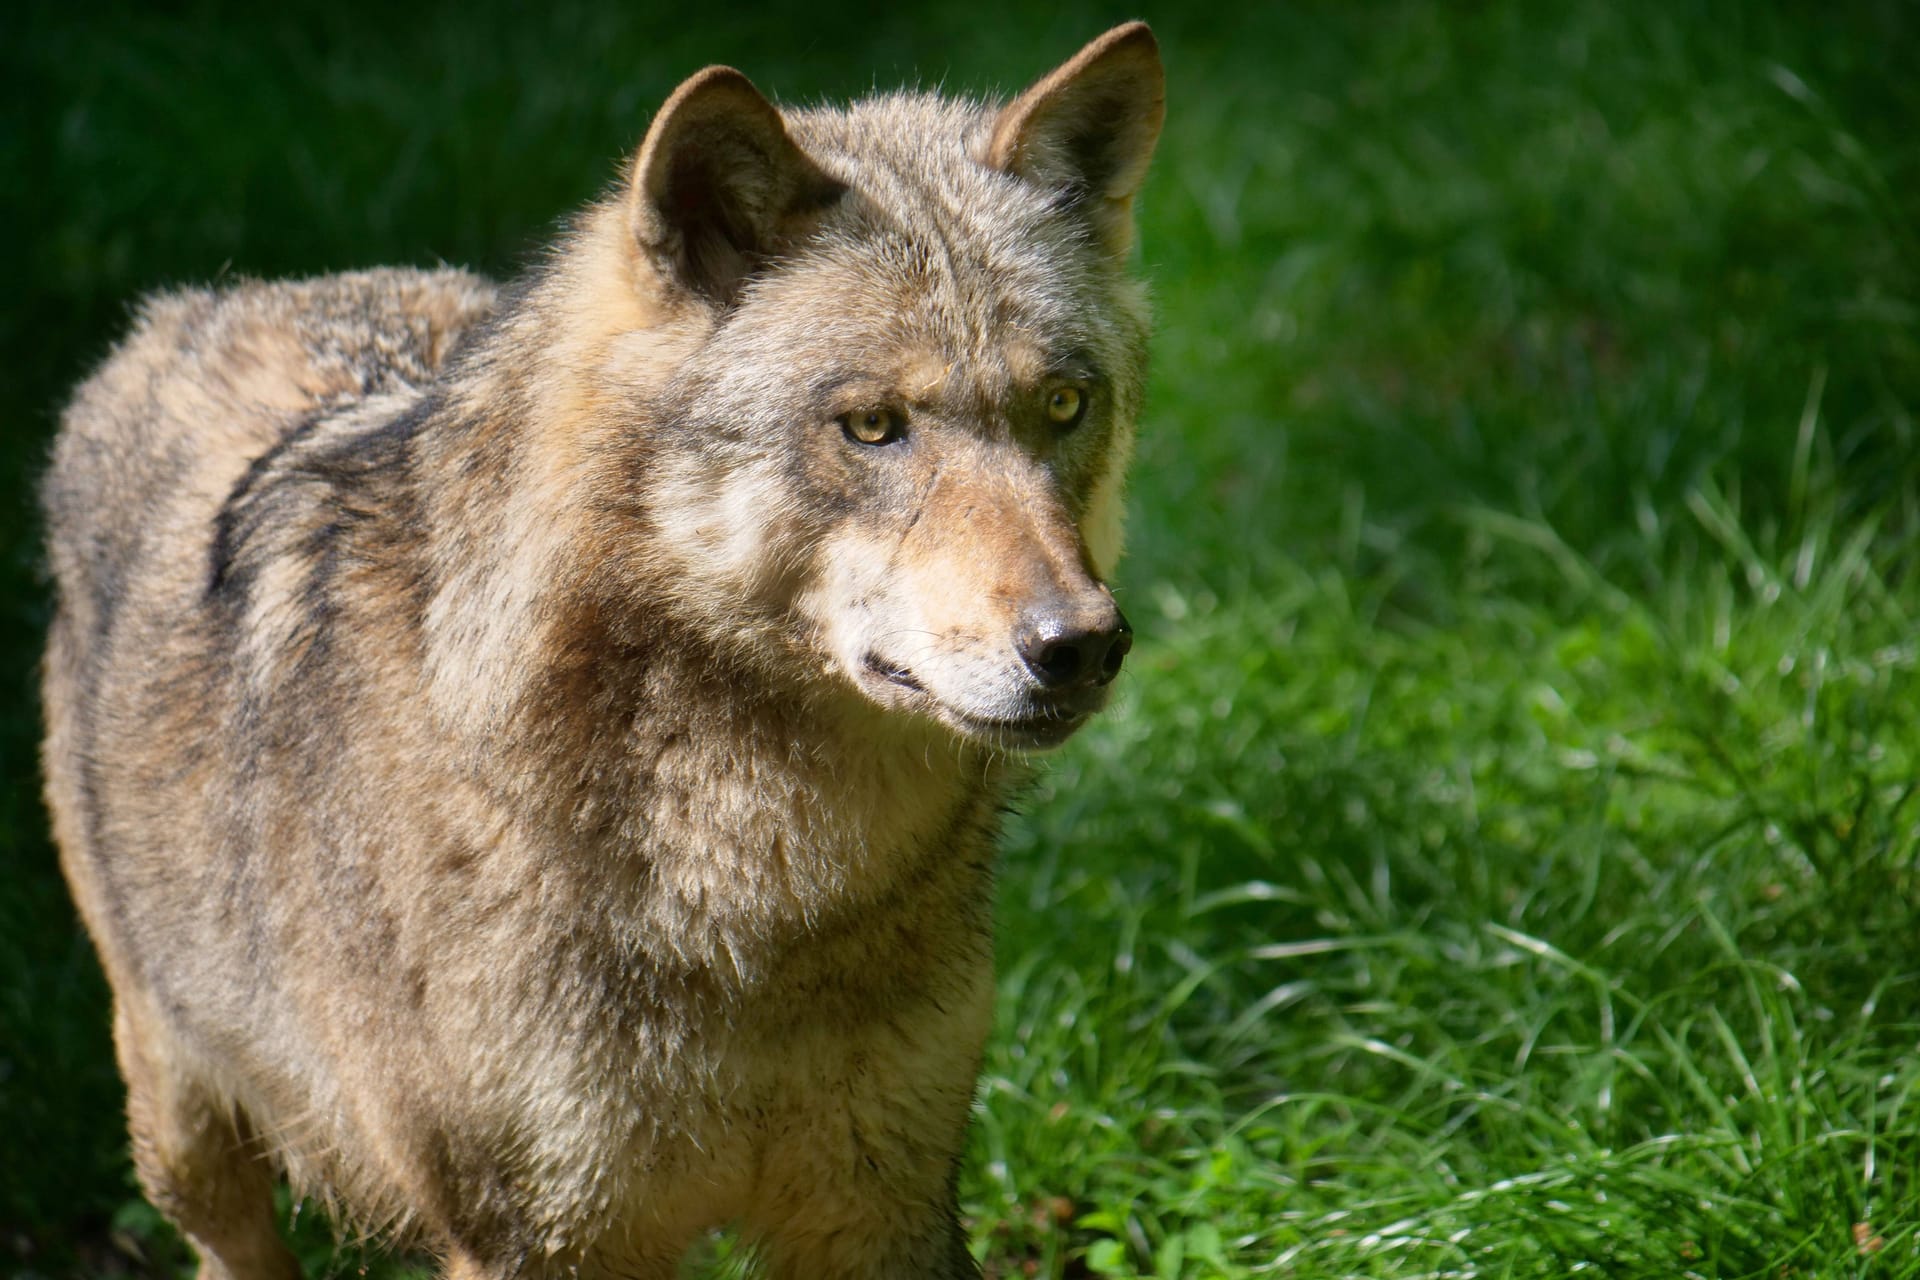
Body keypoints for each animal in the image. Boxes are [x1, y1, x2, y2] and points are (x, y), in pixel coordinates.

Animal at [37, 22, 1159, 1280]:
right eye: (873, 426)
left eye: (1062, 405)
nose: (1082, 644)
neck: (760, 906)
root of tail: (205, 306)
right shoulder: (540, 1235)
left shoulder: (884, 1208)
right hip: (181, 1119)